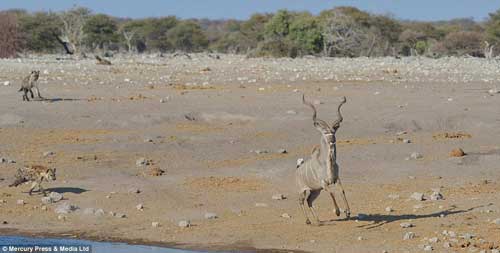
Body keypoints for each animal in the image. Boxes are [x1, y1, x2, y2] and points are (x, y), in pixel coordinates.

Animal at [294, 95, 350, 225]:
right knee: (301, 201)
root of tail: (298, 169)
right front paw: (338, 212)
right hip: (302, 190)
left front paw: (348, 212)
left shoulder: (336, 180)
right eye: (325, 132)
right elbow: (332, 192)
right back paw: (308, 221)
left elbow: (342, 190)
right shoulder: (324, 183)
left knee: (309, 200)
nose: (332, 140)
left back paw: (318, 221)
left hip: (315, 191)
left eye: (334, 131)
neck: (326, 164)